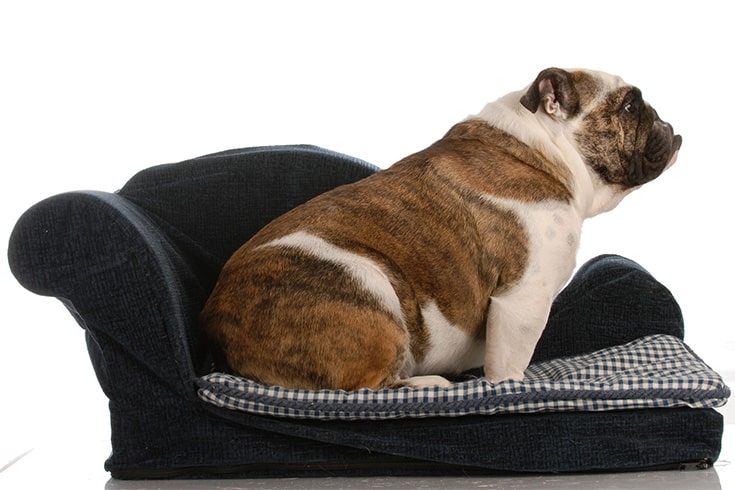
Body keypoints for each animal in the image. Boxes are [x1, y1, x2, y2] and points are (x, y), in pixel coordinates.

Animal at [201, 68, 684, 390]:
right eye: (630, 106)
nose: (666, 122)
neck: (540, 150)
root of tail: (215, 315)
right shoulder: (523, 299)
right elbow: (508, 369)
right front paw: (510, 388)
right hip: (369, 282)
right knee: (364, 387)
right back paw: (427, 384)